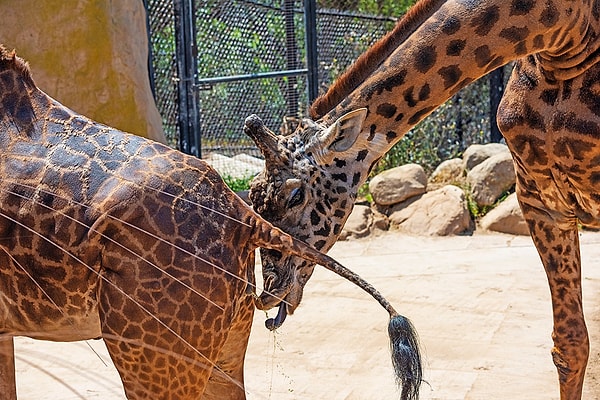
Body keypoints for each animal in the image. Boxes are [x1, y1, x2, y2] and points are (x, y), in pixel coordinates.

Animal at [244, 0, 600, 400]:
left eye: (294, 196)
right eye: (253, 196)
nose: (268, 295)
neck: (563, 35)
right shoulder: (541, 201)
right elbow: (570, 344)